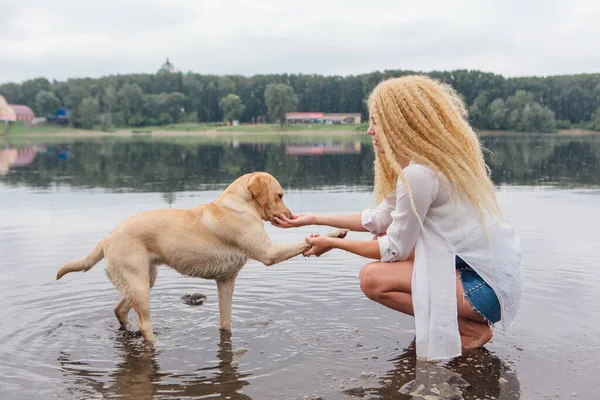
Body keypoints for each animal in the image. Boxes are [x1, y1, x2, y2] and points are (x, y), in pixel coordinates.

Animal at [57, 172, 346, 344]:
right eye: (280, 195)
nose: (290, 215)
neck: (239, 205)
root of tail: (107, 238)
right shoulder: (268, 253)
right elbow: (302, 242)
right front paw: (335, 233)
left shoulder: (226, 281)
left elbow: (225, 323)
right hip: (140, 285)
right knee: (145, 325)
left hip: (145, 279)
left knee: (120, 310)